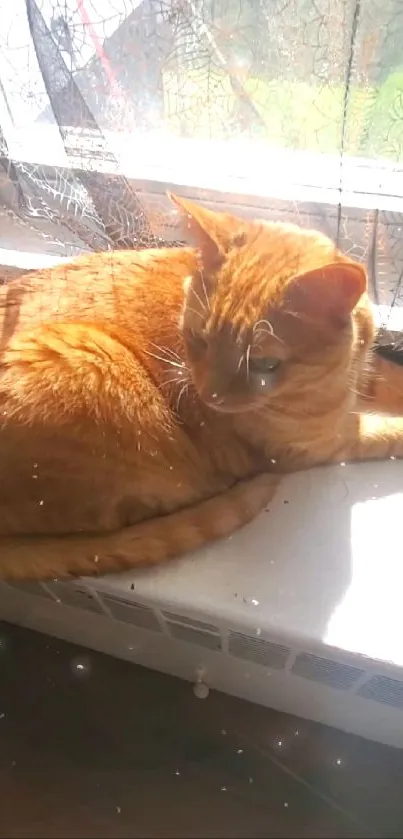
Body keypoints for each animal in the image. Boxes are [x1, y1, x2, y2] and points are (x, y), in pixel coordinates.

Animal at [0, 194, 402, 580]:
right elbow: (384, 432)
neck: (338, 374)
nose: (210, 397)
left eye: (265, 364)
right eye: (199, 339)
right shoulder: (317, 444)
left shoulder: (364, 376)